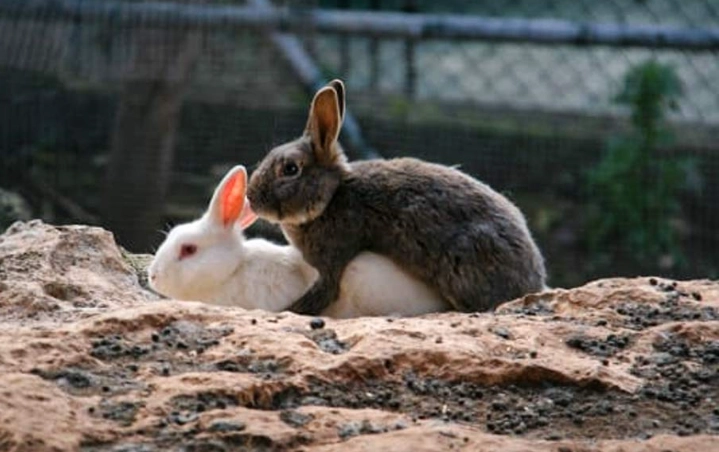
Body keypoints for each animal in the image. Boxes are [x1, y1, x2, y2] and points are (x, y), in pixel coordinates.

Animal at [246, 79, 547, 316]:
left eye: (290, 169)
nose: (250, 197)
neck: (331, 197)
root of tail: (534, 279)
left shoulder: (334, 257)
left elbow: (322, 293)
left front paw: (284, 311)